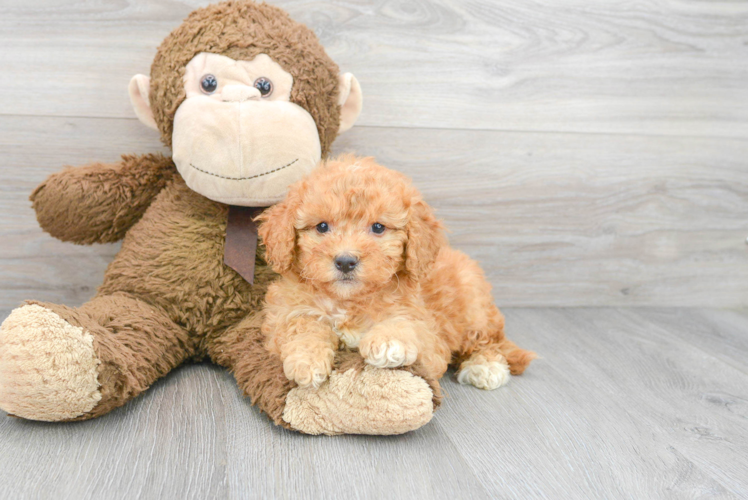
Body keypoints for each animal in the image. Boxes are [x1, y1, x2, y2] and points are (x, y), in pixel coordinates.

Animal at [258, 156, 536, 390]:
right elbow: (301, 324)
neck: (348, 301)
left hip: (473, 309)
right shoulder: (286, 311)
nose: (345, 261)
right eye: (322, 227)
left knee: (488, 340)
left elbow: (409, 325)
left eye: (378, 227)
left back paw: (486, 367)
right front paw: (306, 359)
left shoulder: (430, 335)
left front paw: (388, 340)